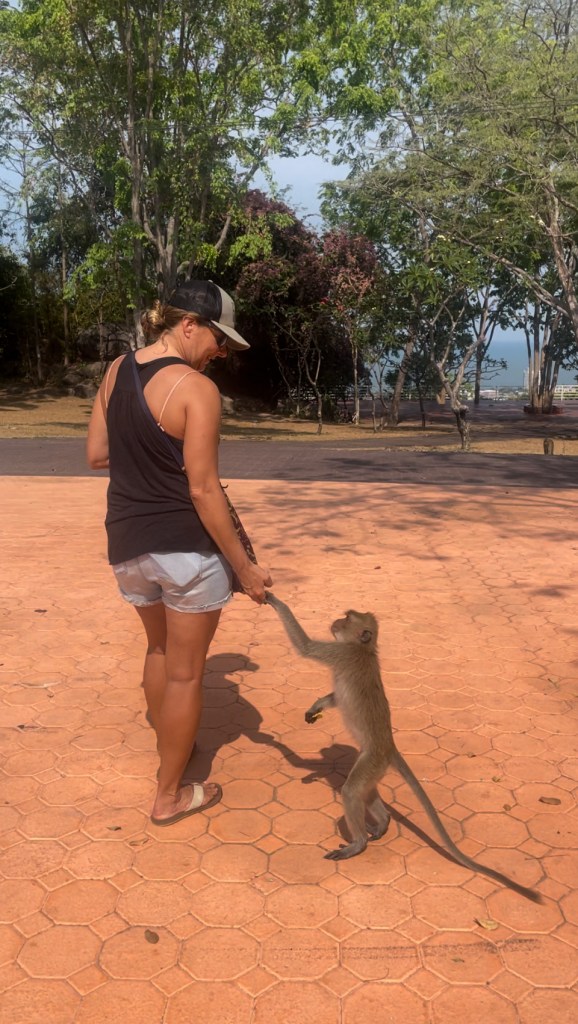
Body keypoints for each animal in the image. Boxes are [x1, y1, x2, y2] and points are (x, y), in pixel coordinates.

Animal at [265, 592, 543, 904]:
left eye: (347, 618)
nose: (335, 621)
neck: (363, 649)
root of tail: (389, 747)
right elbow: (336, 698)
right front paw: (317, 707)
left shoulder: (342, 653)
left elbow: (306, 647)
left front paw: (273, 599)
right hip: (374, 765)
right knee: (366, 791)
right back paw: (384, 821)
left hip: (372, 760)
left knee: (352, 791)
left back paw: (358, 843)